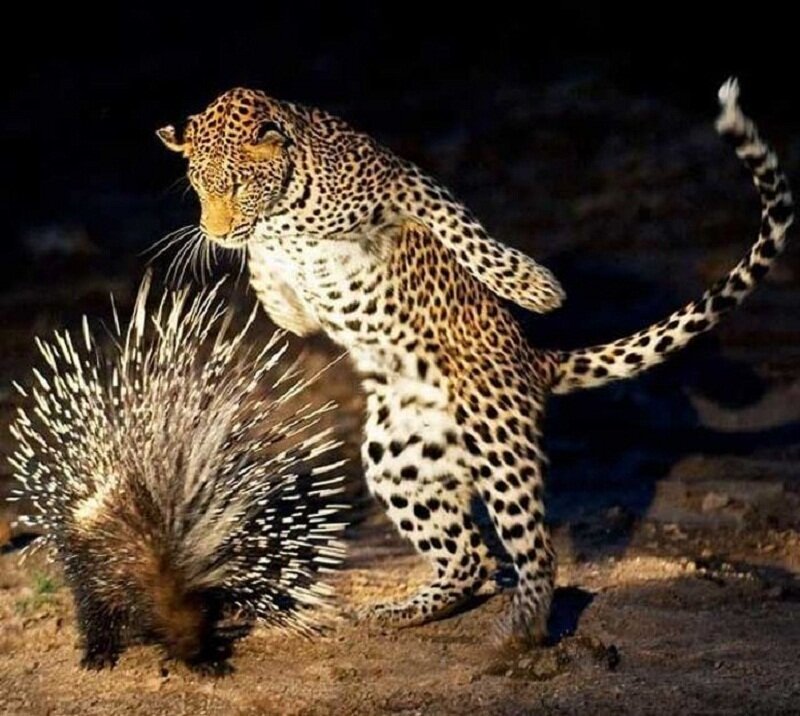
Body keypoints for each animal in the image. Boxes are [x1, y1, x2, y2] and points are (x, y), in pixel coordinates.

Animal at [157, 79, 793, 645]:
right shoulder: (276, 250)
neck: (285, 207)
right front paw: (279, 298)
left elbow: (463, 230)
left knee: (535, 551)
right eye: (199, 187)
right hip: (398, 458)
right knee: (472, 559)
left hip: (497, 441)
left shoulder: (403, 179)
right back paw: (401, 611)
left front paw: (532, 286)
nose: (213, 230)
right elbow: (268, 278)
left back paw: (521, 631)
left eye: (239, 184)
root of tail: (536, 362)